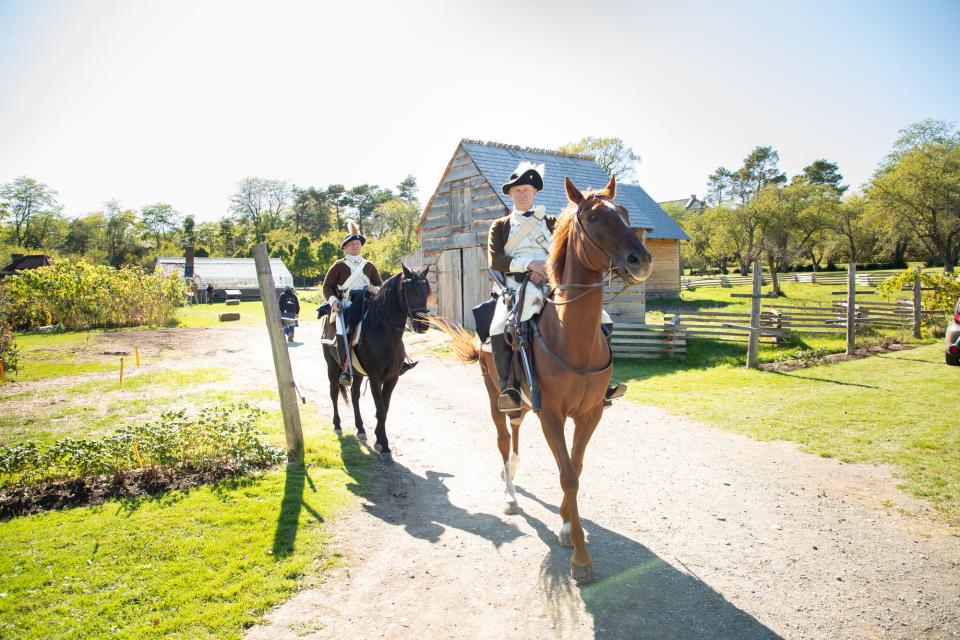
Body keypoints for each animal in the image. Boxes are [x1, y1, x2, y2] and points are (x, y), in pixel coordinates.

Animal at [326, 264, 432, 456]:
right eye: (410, 291)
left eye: (426, 290)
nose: (422, 325)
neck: (383, 333)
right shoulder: (375, 379)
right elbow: (381, 410)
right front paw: (383, 443)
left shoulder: (392, 378)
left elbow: (385, 408)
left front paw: (379, 438)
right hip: (331, 365)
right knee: (334, 393)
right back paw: (337, 425)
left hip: (357, 373)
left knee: (354, 396)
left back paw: (360, 429)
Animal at [440, 176, 652, 584]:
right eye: (594, 216)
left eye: (625, 213)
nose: (641, 259)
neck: (573, 337)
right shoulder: (551, 415)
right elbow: (567, 474)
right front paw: (581, 558)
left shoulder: (589, 415)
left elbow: (575, 469)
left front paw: (567, 526)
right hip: (495, 395)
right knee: (503, 439)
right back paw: (509, 494)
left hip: (524, 404)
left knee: (516, 433)